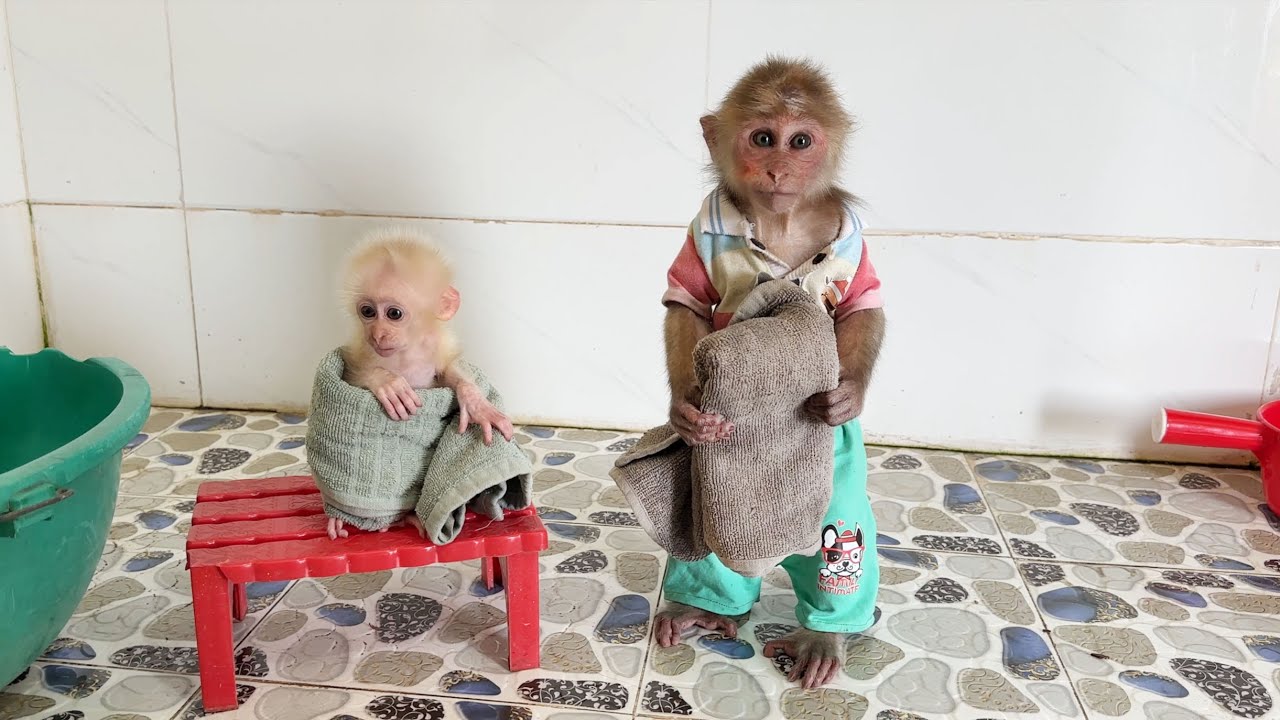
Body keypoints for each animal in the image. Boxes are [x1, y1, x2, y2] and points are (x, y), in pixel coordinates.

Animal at [328, 228, 514, 539]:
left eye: (393, 314)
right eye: (367, 311)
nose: (378, 334)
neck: (408, 351)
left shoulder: (437, 348)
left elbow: (450, 373)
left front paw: (475, 401)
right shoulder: (361, 352)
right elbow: (354, 373)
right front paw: (386, 382)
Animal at [655, 56, 887, 690]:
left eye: (800, 140)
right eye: (763, 138)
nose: (779, 165)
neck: (780, 220)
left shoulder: (854, 245)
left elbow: (862, 308)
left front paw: (846, 397)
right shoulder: (699, 232)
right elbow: (686, 303)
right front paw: (684, 410)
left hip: (832, 469)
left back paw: (826, 635)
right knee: (712, 536)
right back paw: (702, 610)